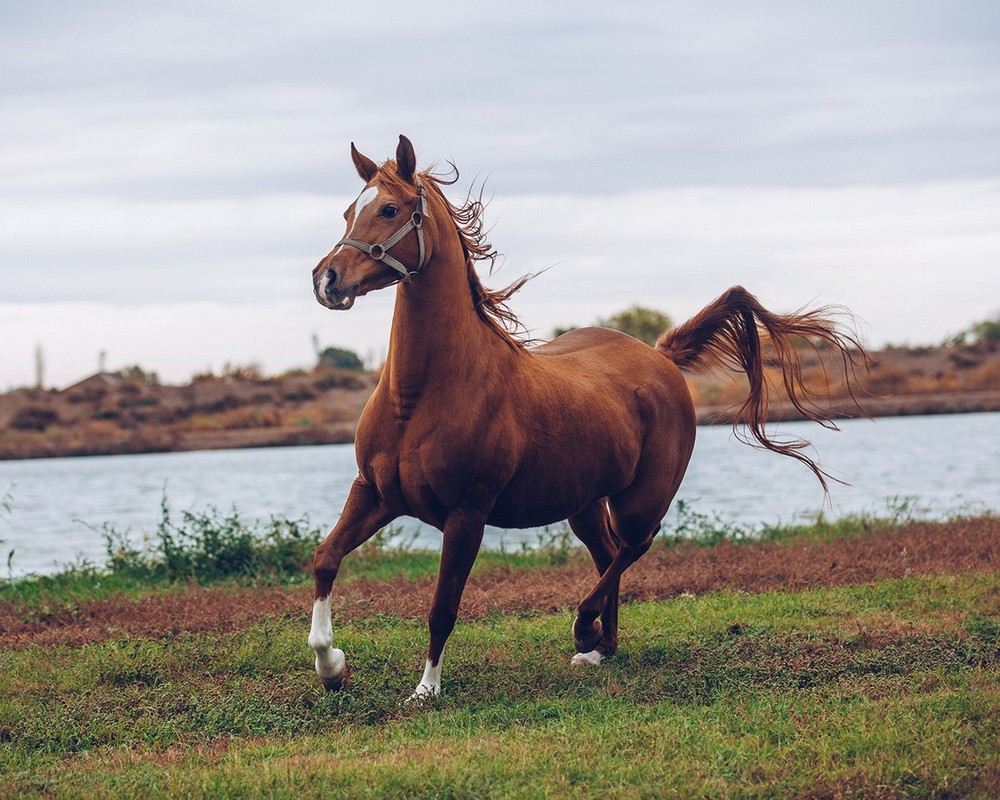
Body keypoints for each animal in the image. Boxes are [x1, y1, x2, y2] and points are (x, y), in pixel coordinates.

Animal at [306, 134, 868, 696]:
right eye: (348, 211)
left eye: (389, 209)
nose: (327, 280)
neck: (420, 397)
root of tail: (660, 356)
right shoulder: (374, 492)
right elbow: (326, 557)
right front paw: (332, 666)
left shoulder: (467, 514)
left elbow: (442, 607)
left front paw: (426, 690)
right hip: (584, 503)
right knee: (608, 552)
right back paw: (601, 647)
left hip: (641, 498)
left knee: (634, 545)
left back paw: (585, 627)